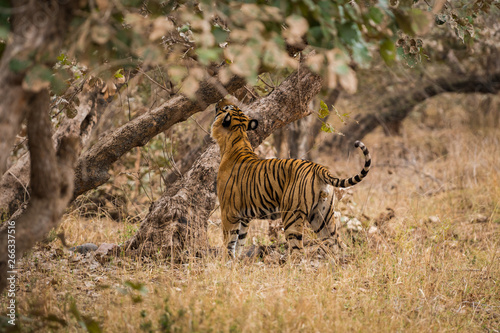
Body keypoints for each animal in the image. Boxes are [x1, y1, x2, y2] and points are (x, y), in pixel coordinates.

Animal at [211, 97, 372, 258]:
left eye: (226, 107)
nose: (220, 100)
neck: (237, 137)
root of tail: (318, 168)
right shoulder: (244, 217)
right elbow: (240, 242)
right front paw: (236, 261)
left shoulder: (229, 212)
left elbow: (229, 242)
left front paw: (225, 261)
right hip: (322, 216)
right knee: (338, 245)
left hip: (291, 216)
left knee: (299, 251)